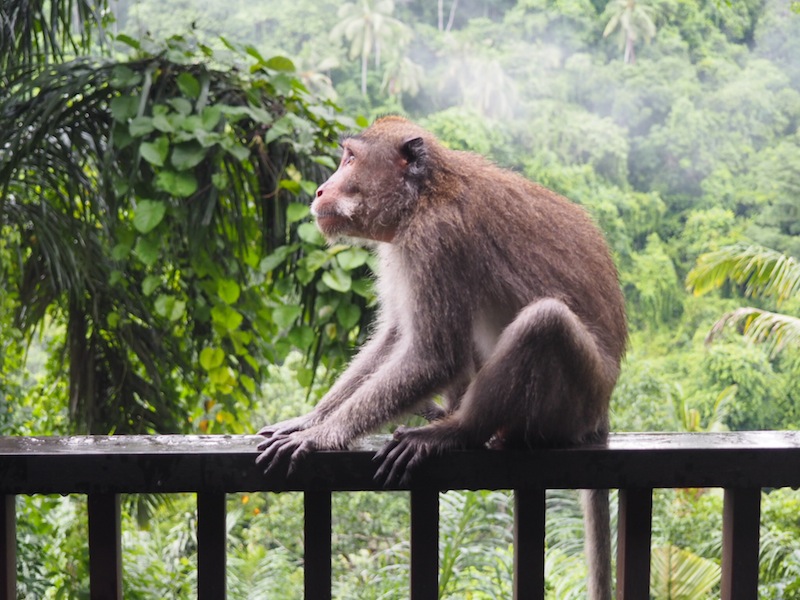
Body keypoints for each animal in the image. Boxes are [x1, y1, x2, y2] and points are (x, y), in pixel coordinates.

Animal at [256, 115, 624, 596]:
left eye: (350, 159)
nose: (320, 190)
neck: (422, 198)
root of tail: (602, 412)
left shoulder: (436, 241)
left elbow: (433, 356)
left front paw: (322, 436)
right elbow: (396, 335)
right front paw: (311, 418)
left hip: (575, 399)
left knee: (544, 321)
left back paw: (458, 430)